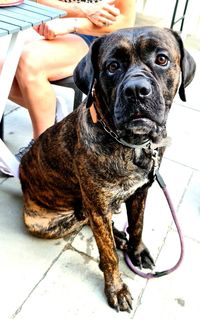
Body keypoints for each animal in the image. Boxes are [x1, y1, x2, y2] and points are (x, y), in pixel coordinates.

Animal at [19, 27, 195, 312]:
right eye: (112, 66)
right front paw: (117, 289)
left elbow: (138, 225)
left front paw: (136, 251)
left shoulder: (140, 192)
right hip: (52, 222)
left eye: (162, 59)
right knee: (86, 222)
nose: (136, 90)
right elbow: (108, 253)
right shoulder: (98, 206)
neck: (133, 144)